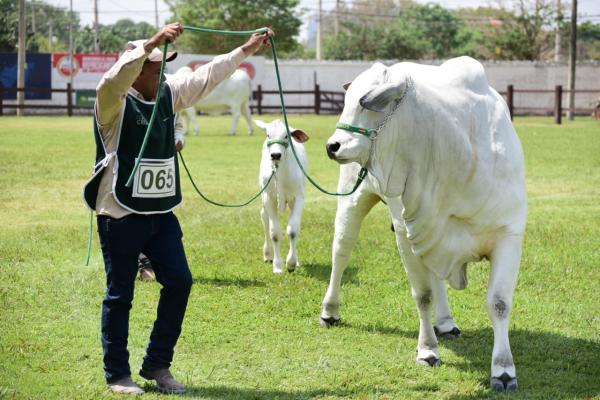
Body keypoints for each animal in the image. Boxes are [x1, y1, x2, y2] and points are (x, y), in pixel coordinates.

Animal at [254, 119, 310, 276]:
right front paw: (278, 265)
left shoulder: (299, 197)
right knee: (264, 218)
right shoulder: (269, 197)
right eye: (268, 134)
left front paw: (291, 263)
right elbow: (275, 233)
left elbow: (293, 230)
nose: (275, 155)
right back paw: (268, 254)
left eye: (286, 136)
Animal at [322, 56, 528, 390]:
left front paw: (504, 370)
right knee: (341, 253)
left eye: (369, 102)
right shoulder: (408, 235)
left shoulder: (508, 234)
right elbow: (423, 295)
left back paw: (445, 322)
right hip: (353, 201)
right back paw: (330, 311)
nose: (332, 146)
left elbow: (499, 303)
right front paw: (428, 351)